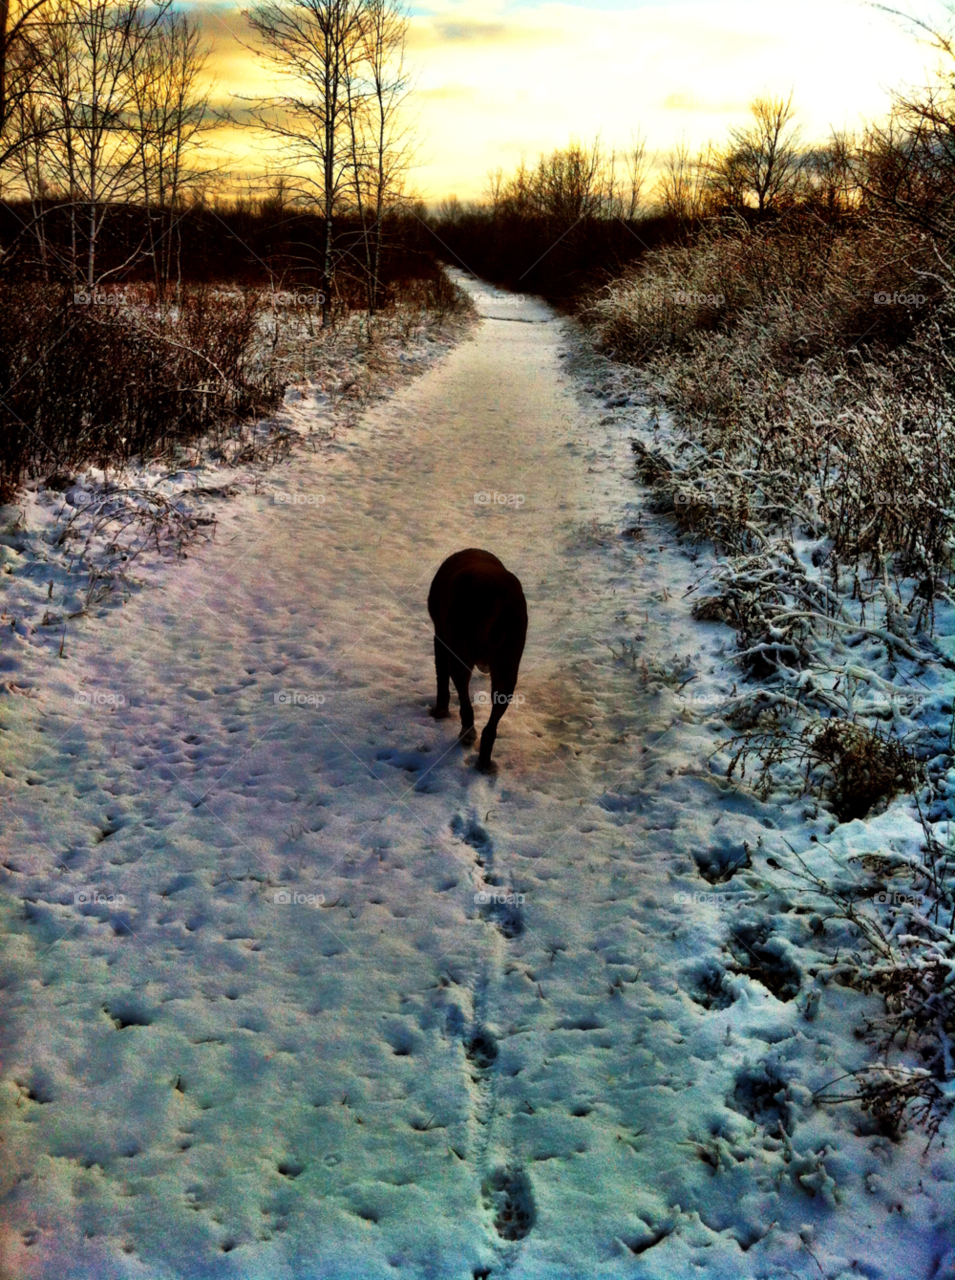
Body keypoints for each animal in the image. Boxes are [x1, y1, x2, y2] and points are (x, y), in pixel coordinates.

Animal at [425, 547, 524, 768]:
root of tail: (495, 595)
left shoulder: (440, 637)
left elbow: (441, 678)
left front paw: (440, 711)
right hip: (507, 665)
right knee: (491, 726)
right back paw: (484, 762)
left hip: (459, 651)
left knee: (463, 696)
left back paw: (467, 733)